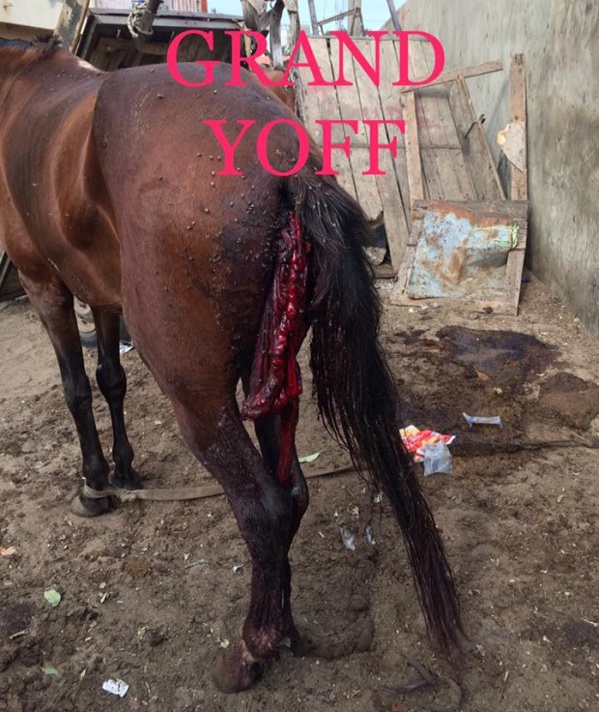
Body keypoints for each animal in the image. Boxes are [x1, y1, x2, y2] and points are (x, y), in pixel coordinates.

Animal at [0, 37, 463, 692]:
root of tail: (287, 163)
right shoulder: (102, 294)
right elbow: (111, 379)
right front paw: (123, 470)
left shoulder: (44, 283)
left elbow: (76, 389)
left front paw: (94, 482)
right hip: (271, 376)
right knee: (291, 491)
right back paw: (285, 630)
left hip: (201, 398)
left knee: (264, 508)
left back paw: (249, 650)